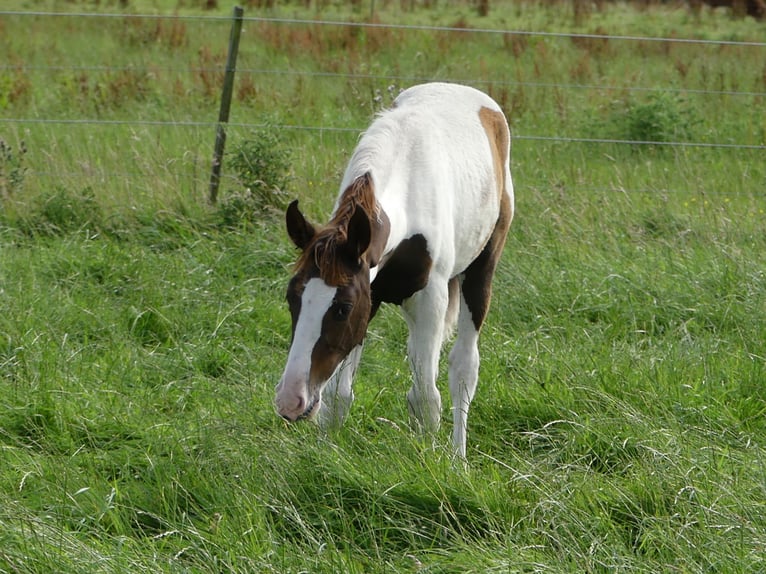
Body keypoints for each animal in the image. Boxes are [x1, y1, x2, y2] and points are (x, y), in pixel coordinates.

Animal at [276, 82, 516, 460]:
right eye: (292, 298)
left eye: (341, 308)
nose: (290, 401)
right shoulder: (370, 296)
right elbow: (337, 398)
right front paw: (326, 458)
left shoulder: (429, 297)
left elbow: (426, 399)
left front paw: (428, 463)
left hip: (479, 273)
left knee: (463, 368)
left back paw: (458, 457)